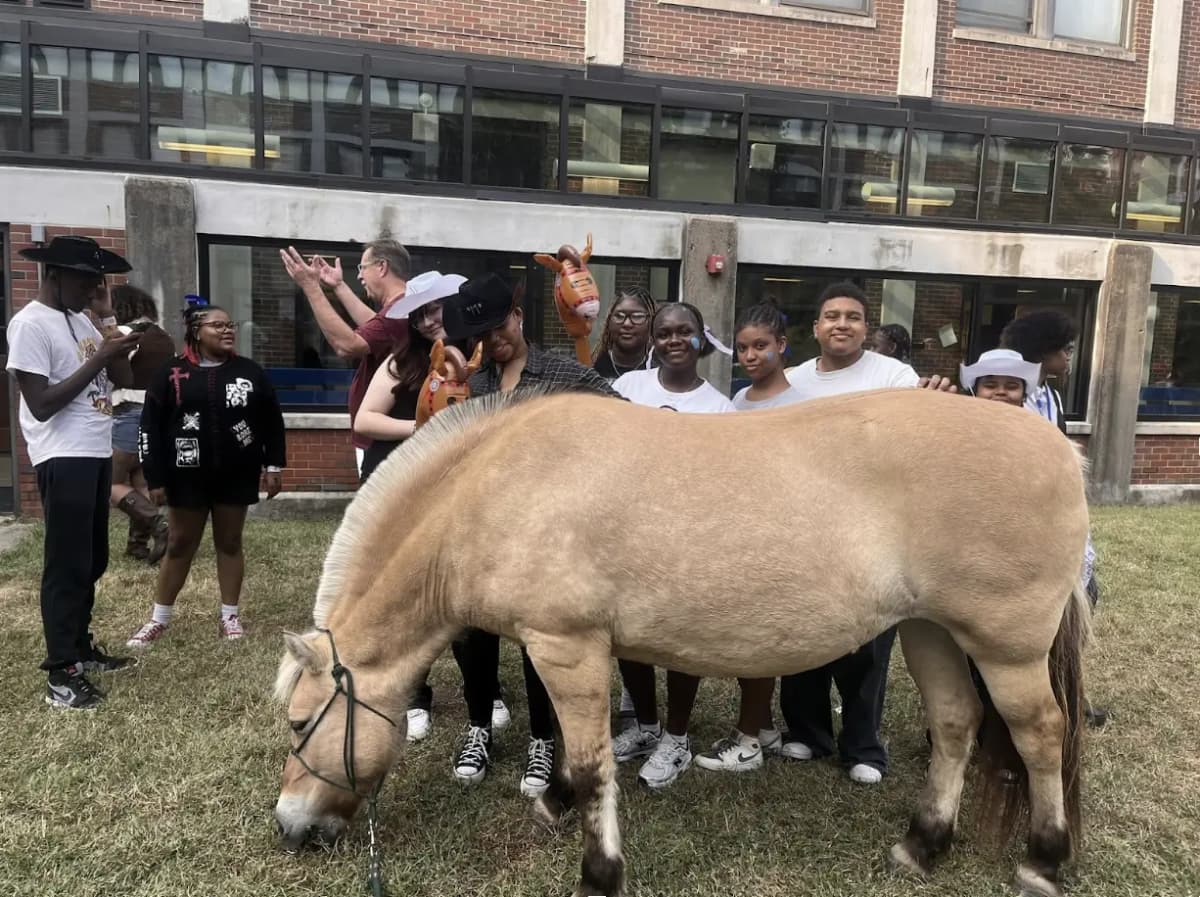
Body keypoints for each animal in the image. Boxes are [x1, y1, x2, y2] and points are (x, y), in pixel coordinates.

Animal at [273, 387, 1091, 897]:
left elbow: (593, 762)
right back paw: (923, 844)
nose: (289, 827)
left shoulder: (566, 644)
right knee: (955, 725)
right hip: (931, 632)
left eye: (298, 721)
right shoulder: (562, 647)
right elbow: (575, 748)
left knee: (1041, 734)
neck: (500, 486)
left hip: (1005, 649)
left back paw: (1044, 860)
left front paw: (599, 871)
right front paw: (554, 803)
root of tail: (1060, 449)